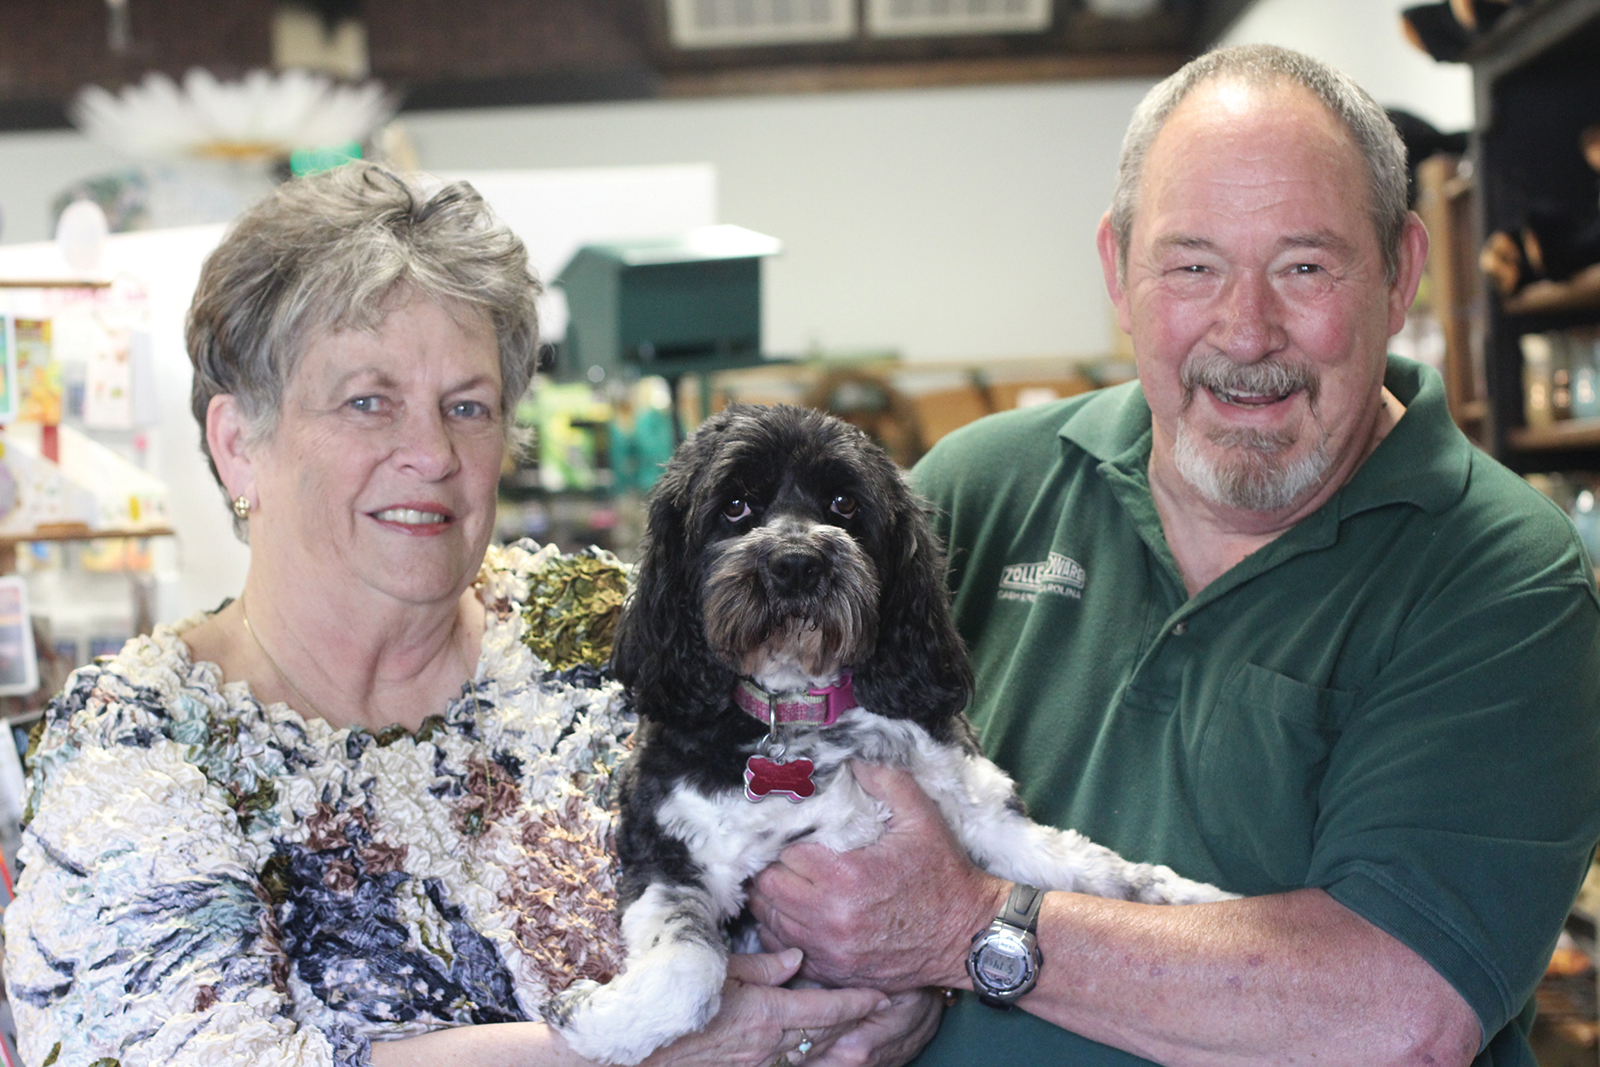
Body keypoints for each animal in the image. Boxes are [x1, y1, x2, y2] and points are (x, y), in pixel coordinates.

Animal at [544, 404, 1228, 1062]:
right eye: (734, 506)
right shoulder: (665, 849)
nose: (796, 564)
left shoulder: (986, 818)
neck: (805, 711)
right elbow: (692, 971)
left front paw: (1198, 900)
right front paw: (590, 1020)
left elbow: (1096, 868)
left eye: (844, 504)